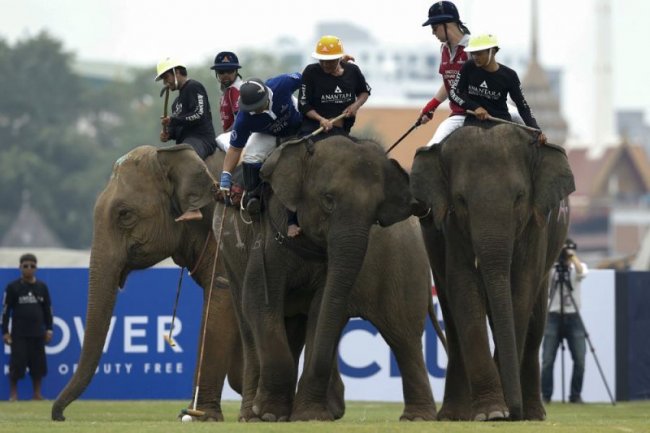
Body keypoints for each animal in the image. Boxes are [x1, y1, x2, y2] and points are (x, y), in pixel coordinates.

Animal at [410, 123, 572, 420]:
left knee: (536, 324)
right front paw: (493, 413)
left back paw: (534, 414)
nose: (514, 412)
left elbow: (521, 290)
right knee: (453, 321)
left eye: (519, 197)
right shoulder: (451, 226)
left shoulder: (536, 225)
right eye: (461, 200)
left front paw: (503, 411)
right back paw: (452, 415)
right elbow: (464, 288)